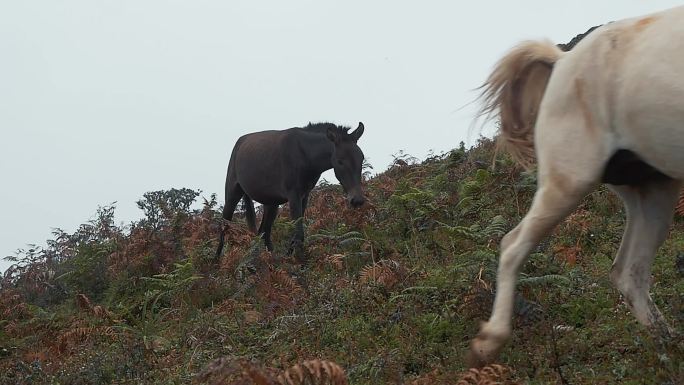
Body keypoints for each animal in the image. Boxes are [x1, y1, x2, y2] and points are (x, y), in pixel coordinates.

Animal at [218, 121, 368, 256]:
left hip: (271, 203)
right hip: (232, 193)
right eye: (340, 161)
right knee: (224, 226)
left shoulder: (304, 195)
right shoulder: (293, 194)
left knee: (263, 233)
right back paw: (217, 261)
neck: (306, 155)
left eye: (361, 158)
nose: (357, 200)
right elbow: (299, 233)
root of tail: (240, 142)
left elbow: (297, 234)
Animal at [470, 6, 684, 366]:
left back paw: (669, 348)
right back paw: (488, 342)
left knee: (630, 273)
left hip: (653, 188)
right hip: (568, 180)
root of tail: (563, 60)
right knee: (513, 245)